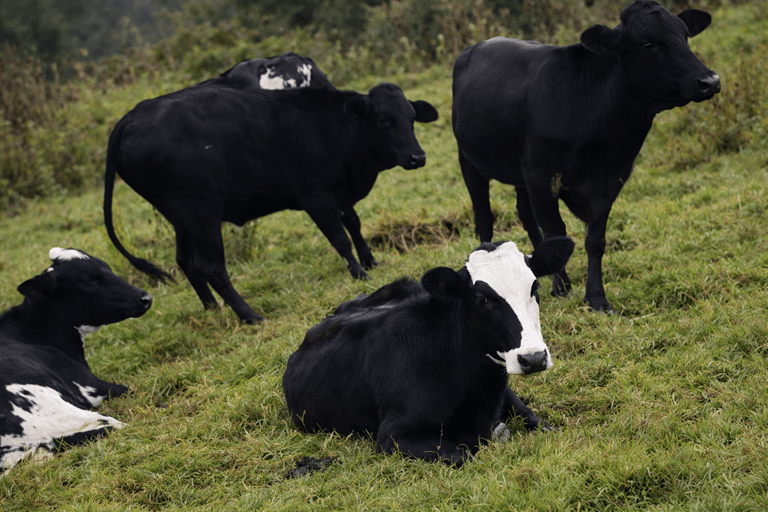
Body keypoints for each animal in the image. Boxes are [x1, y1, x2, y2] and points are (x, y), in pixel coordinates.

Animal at [104, 82, 438, 324]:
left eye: (411, 118)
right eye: (384, 120)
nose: (418, 157)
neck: (330, 128)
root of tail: (131, 117)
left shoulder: (340, 193)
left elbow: (354, 224)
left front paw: (371, 261)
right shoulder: (317, 198)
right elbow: (340, 237)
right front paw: (360, 274)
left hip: (180, 219)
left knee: (185, 261)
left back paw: (213, 310)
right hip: (202, 215)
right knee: (211, 266)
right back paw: (249, 315)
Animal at [283, 237, 575, 467]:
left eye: (535, 287)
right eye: (483, 300)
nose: (533, 358)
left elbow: (540, 423)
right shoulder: (393, 436)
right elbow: (462, 455)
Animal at [452, 0, 720, 313]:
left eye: (685, 36)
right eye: (648, 44)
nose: (710, 81)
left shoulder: (612, 180)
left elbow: (595, 241)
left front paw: (596, 298)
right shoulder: (542, 176)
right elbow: (556, 230)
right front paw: (562, 288)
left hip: (519, 171)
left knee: (525, 214)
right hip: (469, 161)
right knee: (484, 216)